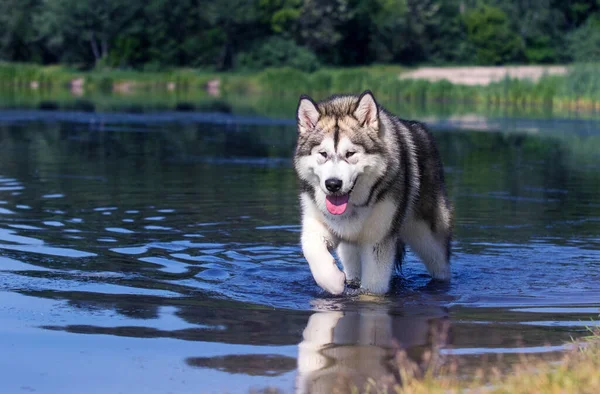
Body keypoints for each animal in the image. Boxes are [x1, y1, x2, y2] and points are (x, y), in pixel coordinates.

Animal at [292, 91, 452, 294]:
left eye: (350, 154)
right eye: (323, 154)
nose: (333, 184)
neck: (353, 207)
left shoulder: (378, 241)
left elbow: (373, 288)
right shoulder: (317, 222)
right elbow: (311, 248)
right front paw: (333, 281)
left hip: (429, 239)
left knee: (440, 265)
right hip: (350, 251)